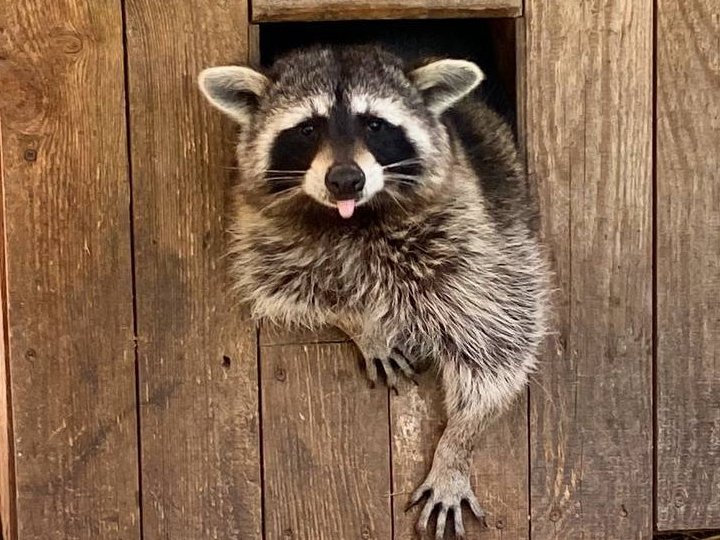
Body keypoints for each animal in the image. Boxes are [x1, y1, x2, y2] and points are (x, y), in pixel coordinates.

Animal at [200, 44, 548, 536]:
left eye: (375, 125)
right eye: (307, 128)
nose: (345, 179)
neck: (354, 220)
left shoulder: (480, 241)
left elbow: (497, 346)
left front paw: (457, 443)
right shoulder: (264, 234)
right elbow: (295, 289)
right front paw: (363, 327)